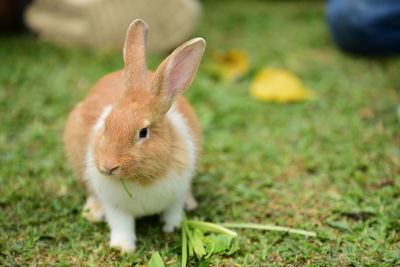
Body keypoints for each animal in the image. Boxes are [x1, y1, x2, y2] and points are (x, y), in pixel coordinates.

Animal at [64, 19, 206, 253]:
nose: (108, 166)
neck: (142, 178)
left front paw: (172, 228)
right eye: (106, 124)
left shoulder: (176, 194)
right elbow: (122, 225)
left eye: (143, 132)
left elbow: (173, 212)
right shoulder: (116, 208)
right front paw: (123, 248)